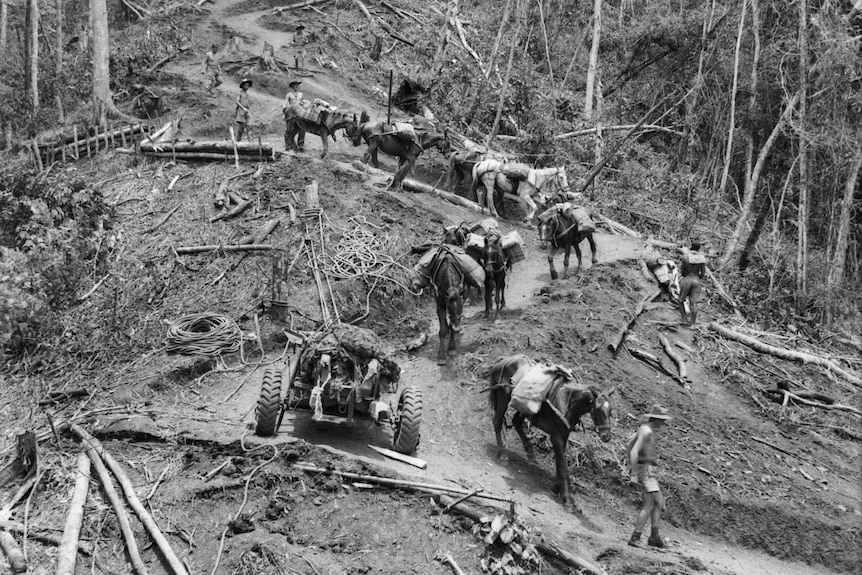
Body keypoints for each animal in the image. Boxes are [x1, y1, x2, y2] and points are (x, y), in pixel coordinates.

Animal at [490, 356, 616, 508]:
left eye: (610, 410)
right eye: (597, 408)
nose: (606, 436)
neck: (568, 401)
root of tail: (504, 360)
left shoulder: (564, 436)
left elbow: (559, 463)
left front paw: (556, 488)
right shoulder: (556, 437)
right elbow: (563, 467)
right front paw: (567, 499)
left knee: (516, 422)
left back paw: (530, 454)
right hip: (503, 398)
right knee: (497, 422)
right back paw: (502, 454)